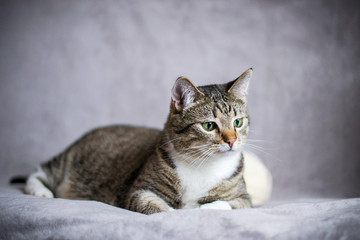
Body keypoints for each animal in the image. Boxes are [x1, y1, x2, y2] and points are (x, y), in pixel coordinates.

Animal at [24, 68, 272, 215]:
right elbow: (155, 206)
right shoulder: (139, 189)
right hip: (69, 161)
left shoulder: (243, 198)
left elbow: (225, 204)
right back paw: (40, 191)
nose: (231, 141)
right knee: (40, 171)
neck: (202, 164)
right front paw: (174, 214)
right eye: (209, 126)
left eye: (238, 122)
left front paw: (203, 209)